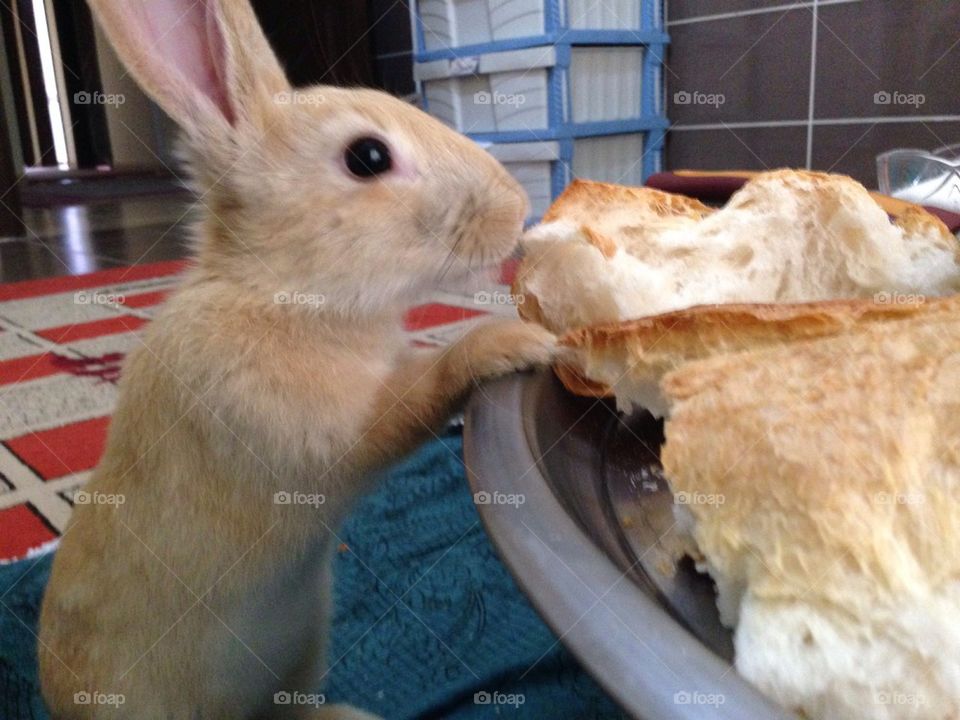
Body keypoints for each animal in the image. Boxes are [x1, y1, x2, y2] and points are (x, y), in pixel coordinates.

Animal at [36, 1, 556, 718]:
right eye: (368, 156)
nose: (518, 209)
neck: (281, 293)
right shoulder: (310, 427)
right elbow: (417, 393)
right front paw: (509, 339)